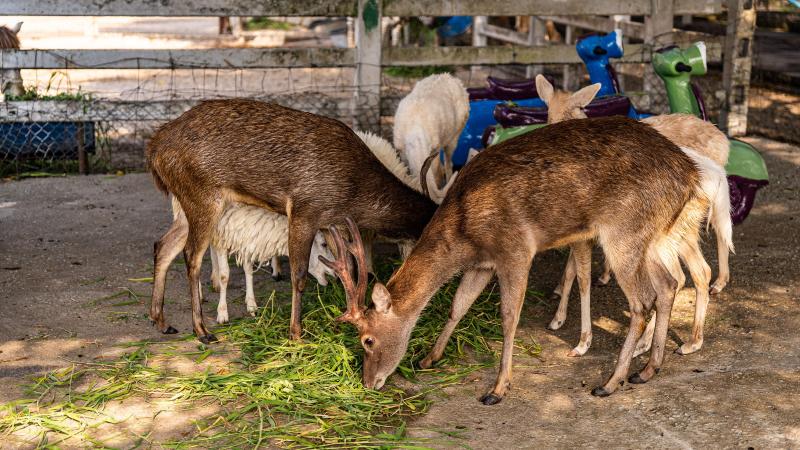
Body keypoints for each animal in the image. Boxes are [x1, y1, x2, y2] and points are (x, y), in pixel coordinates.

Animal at [147, 99, 438, 343]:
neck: (356, 195)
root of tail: (154, 149)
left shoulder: (330, 222)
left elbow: (349, 267)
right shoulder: (305, 210)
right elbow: (299, 275)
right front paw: (296, 332)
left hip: (190, 203)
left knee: (163, 245)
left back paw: (160, 320)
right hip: (202, 197)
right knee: (191, 255)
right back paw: (201, 330)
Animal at [325, 115, 715, 403]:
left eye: (367, 340)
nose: (368, 382)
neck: (465, 231)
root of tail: (690, 175)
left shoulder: (514, 250)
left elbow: (509, 317)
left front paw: (498, 389)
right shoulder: (482, 263)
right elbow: (457, 305)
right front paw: (428, 357)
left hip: (625, 233)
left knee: (641, 302)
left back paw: (610, 382)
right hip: (655, 236)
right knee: (668, 285)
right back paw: (647, 370)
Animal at [536, 75, 733, 357]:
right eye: (547, 112)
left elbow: (580, 276)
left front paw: (575, 336)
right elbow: (573, 270)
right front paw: (559, 314)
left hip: (669, 236)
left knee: (683, 273)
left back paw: (647, 343)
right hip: (684, 231)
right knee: (702, 264)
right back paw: (692, 340)